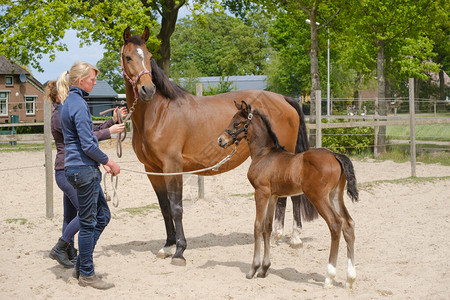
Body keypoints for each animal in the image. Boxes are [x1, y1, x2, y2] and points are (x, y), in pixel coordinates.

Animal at [121, 27, 314, 264]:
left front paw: (179, 250)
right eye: (128, 57)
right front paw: (167, 246)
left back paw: (294, 237)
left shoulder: (172, 167)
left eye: (149, 57)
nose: (147, 89)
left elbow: (176, 207)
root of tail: (284, 99)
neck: (159, 113)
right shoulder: (152, 170)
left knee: (293, 196)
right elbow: (165, 207)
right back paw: (278, 235)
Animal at [217, 101, 358, 288]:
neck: (264, 154)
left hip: (319, 197)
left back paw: (329, 277)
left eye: (237, 123)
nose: (221, 140)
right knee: (349, 224)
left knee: (336, 224)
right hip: (335, 196)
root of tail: (335, 155)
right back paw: (350, 278)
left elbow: (257, 226)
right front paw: (264, 269)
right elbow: (268, 227)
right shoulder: (273, 195)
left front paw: (253, 269)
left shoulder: (261, 192)